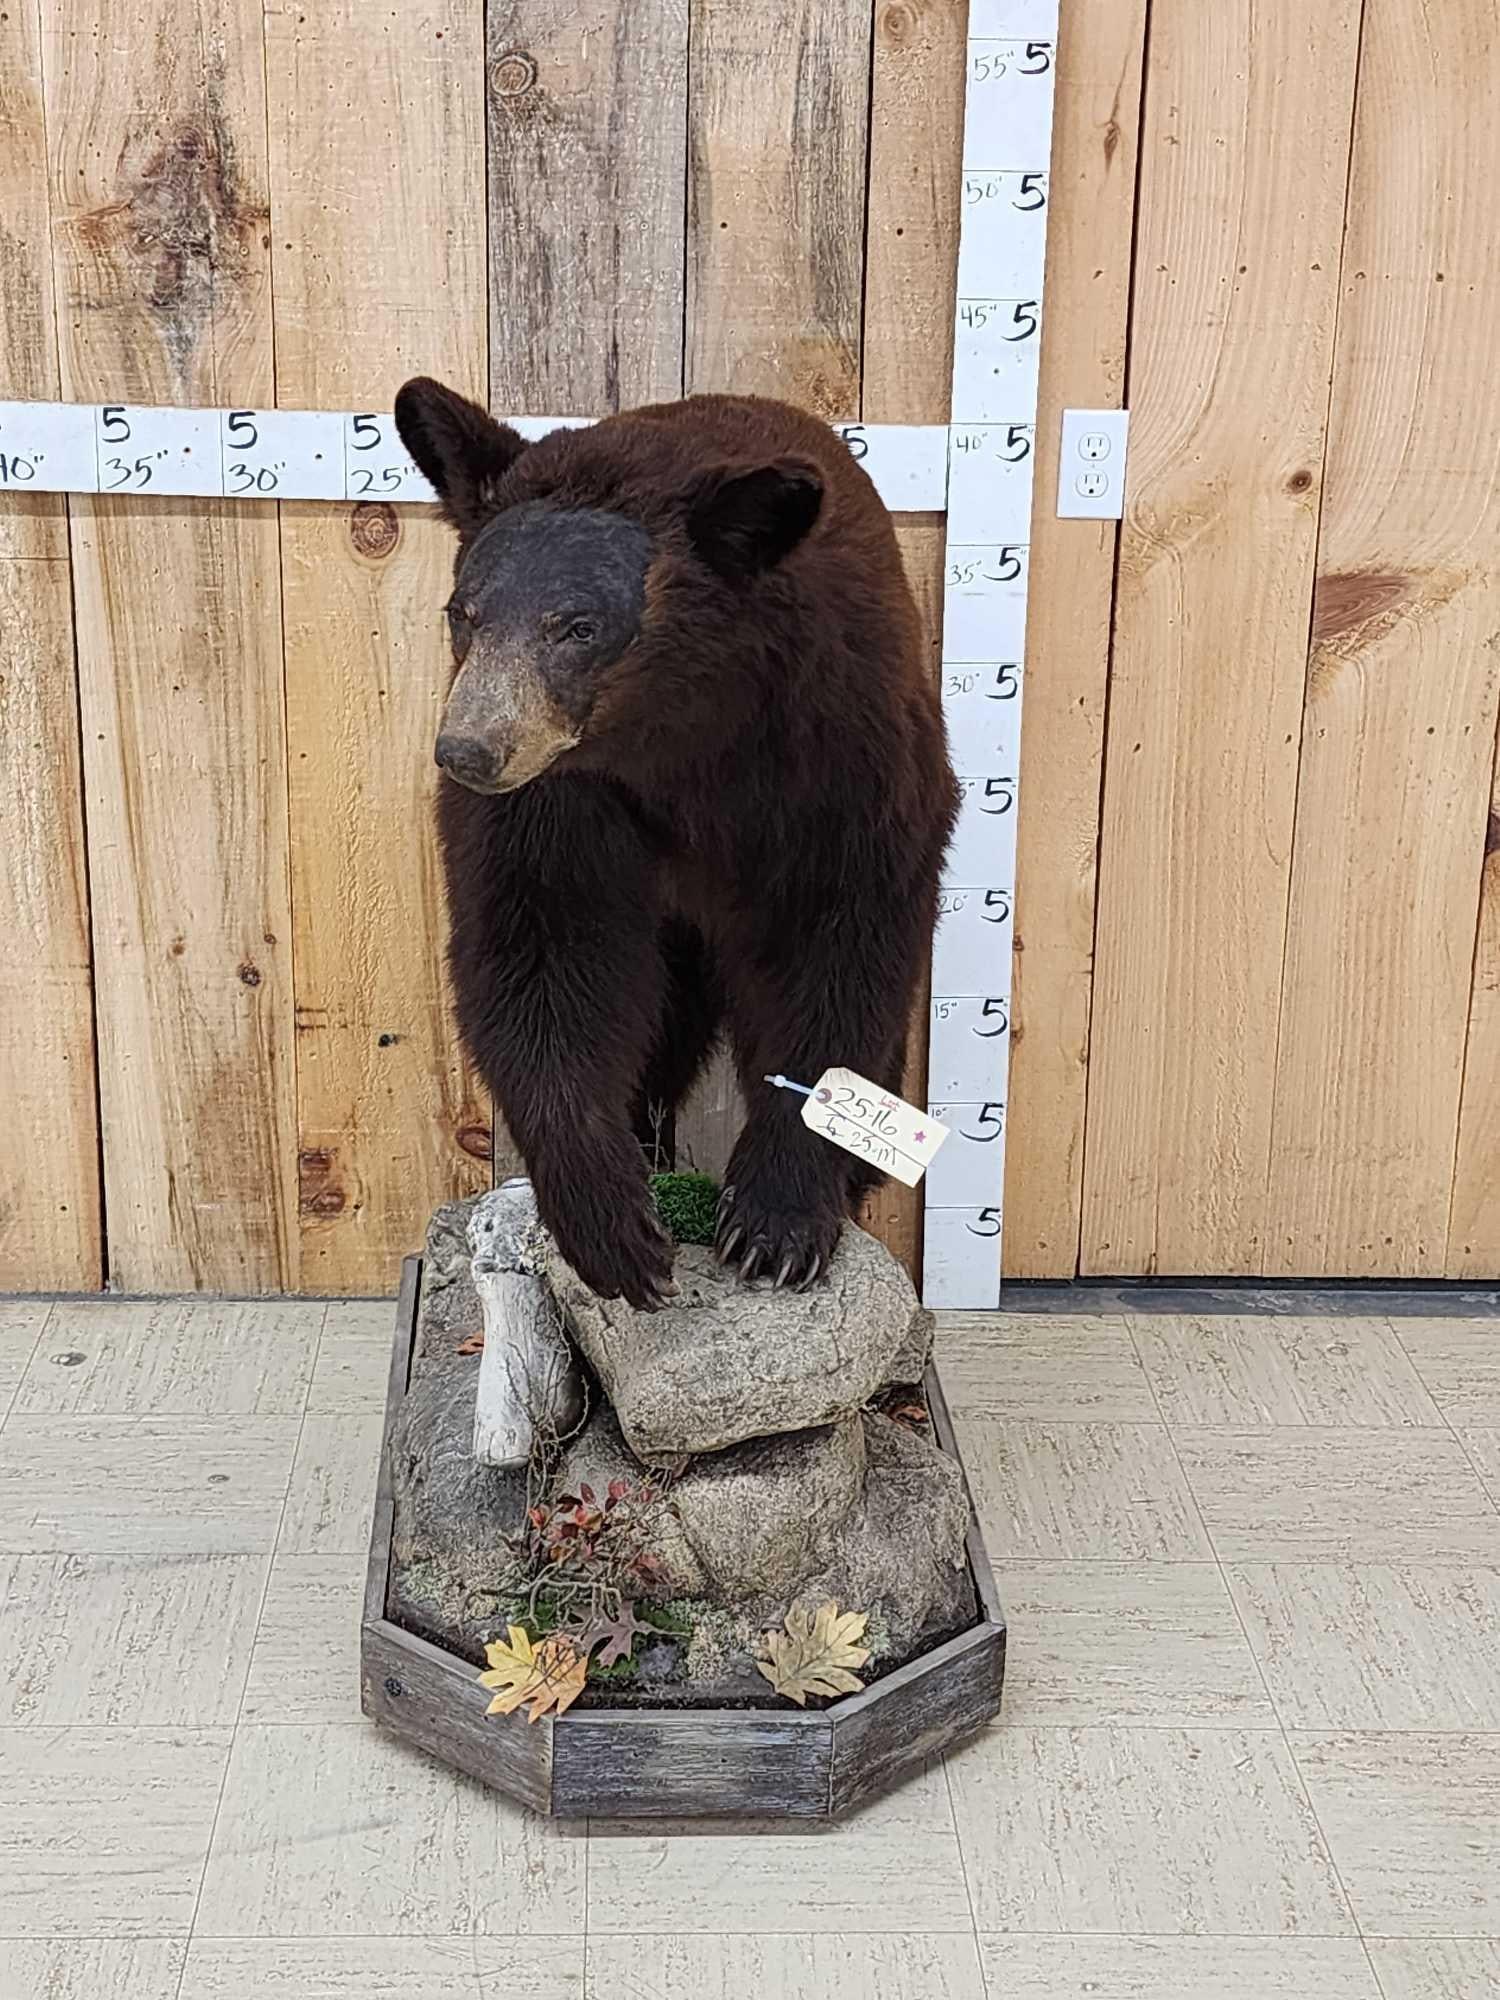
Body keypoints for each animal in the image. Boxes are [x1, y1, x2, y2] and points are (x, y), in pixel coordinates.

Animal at [394, 378, 959, 1310]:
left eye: (578, 626)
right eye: (463, 612)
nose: (468, 753)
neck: (682, 736)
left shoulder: (838, 756)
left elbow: (836, 951)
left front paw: (776, 1221)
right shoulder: (564, 798)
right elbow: (543, 954)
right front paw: (611, 1220)